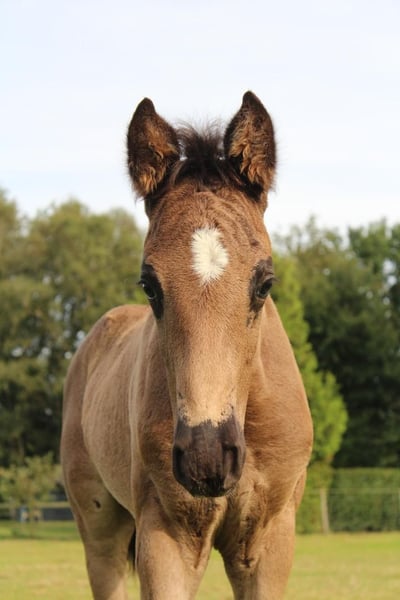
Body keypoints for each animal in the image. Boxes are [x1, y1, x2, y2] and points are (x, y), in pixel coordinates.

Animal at [61, 91, 313, 600]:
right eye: (149, 285)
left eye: (265, 283)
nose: (206, 458)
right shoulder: (166, 538)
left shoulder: (270, 540)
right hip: (99, 529)